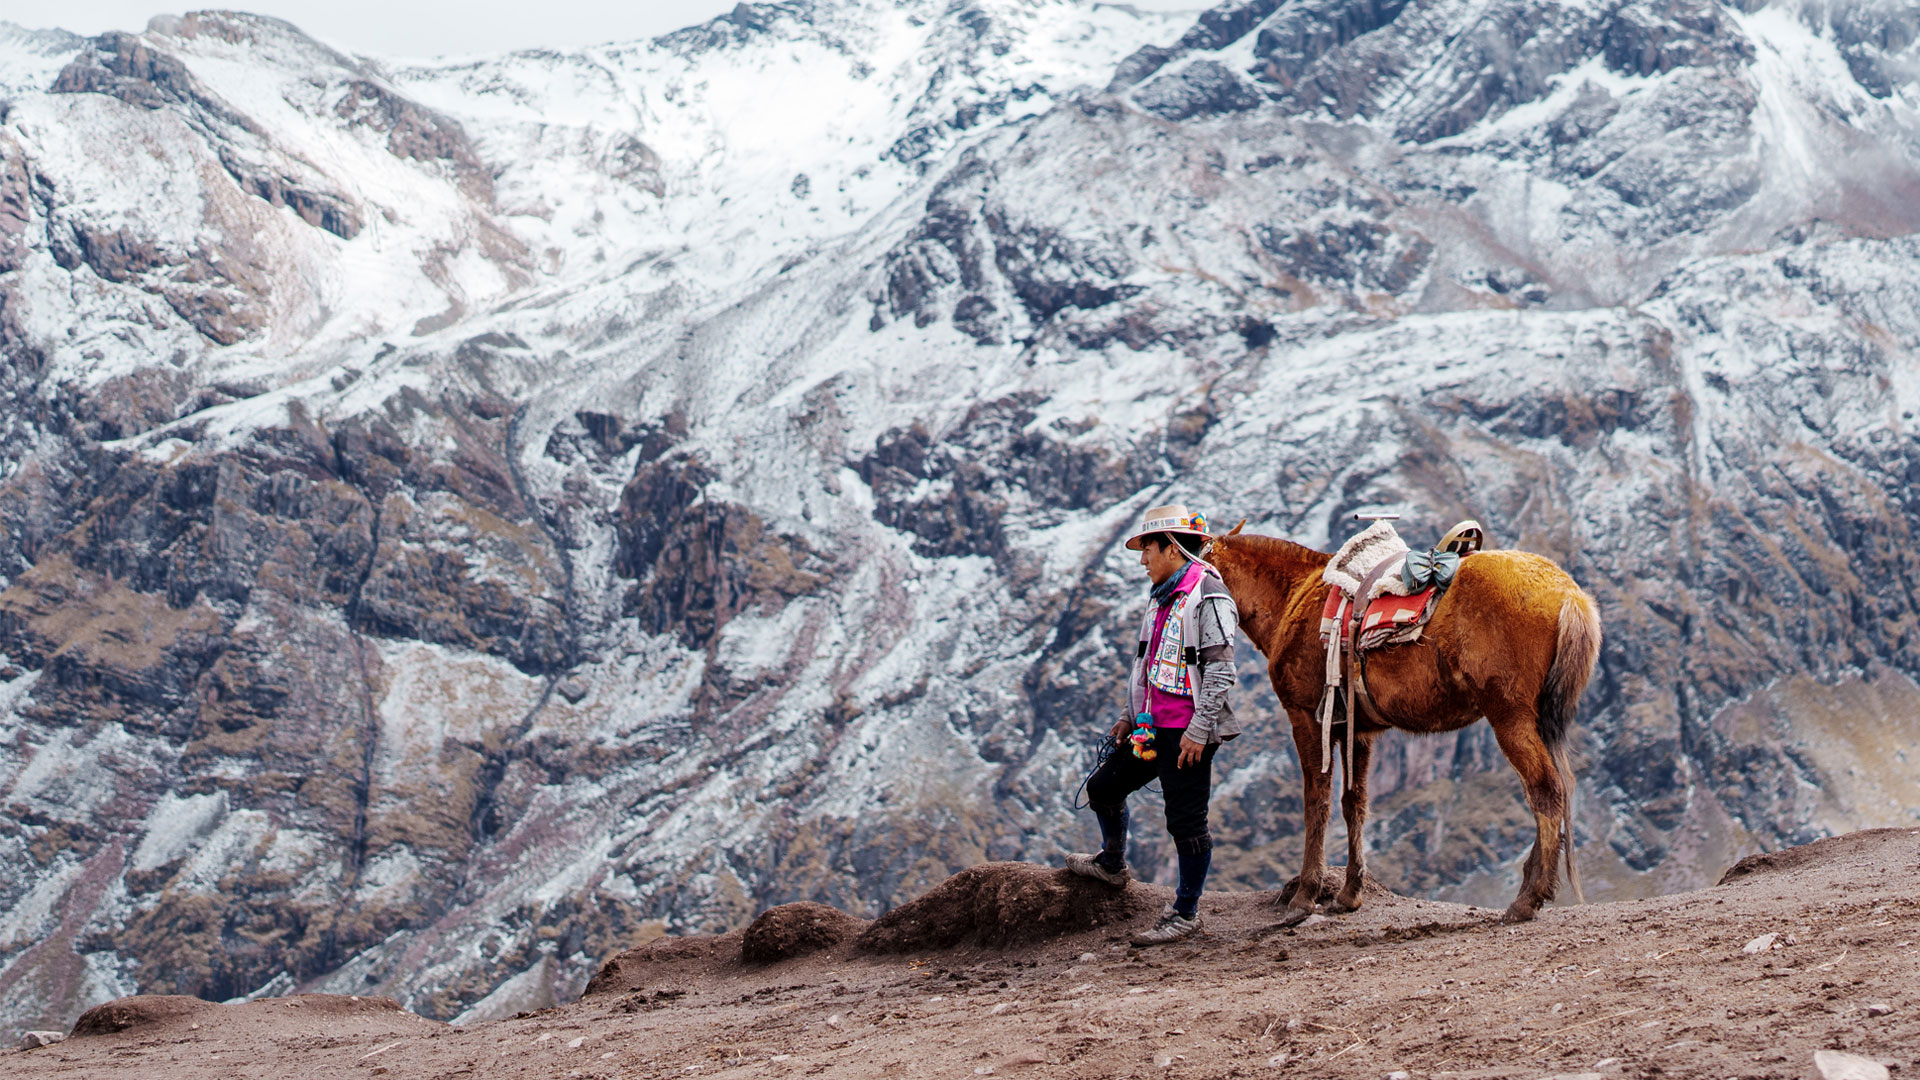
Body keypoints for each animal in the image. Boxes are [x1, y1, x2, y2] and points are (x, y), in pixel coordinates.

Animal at [1213, 526, 1605, 922]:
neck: (1292, 597)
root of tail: (1570, 595)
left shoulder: (1306, 718)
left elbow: (1316, 804)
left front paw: (1305, 895)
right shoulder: (1357, 732)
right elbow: (1354, 804)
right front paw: (1349, 894)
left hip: (1510, 716)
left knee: (1545, 790)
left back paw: (1528, 899)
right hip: (1538, 718)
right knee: (1557, 788)